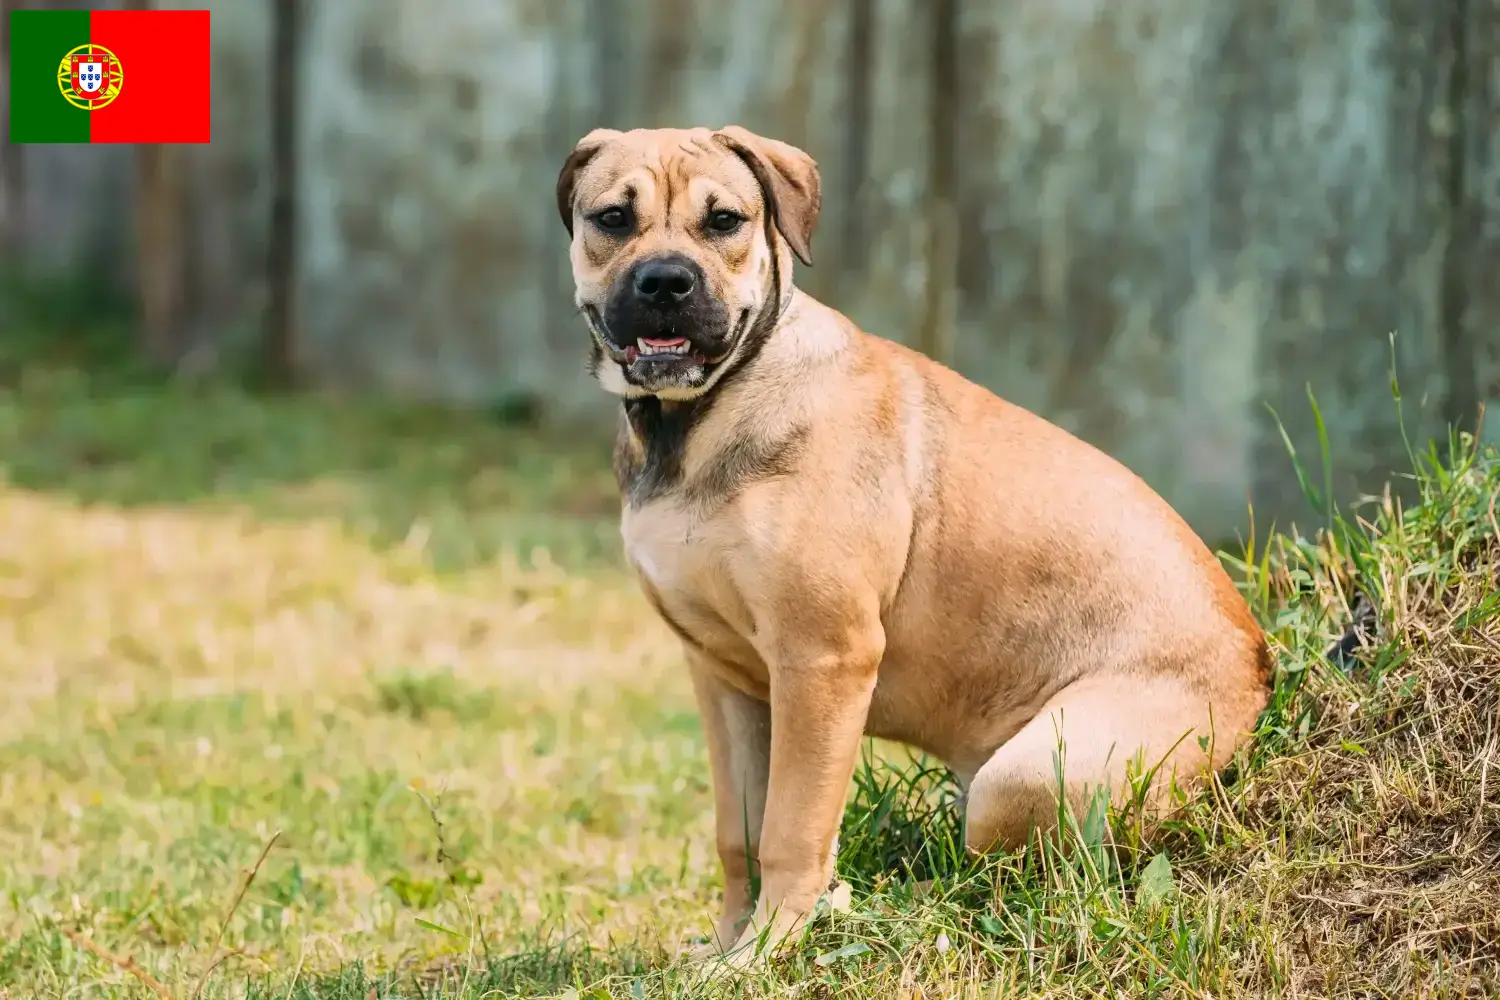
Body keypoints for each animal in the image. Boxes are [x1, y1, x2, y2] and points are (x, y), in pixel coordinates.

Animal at [558, 125, 1272, 959]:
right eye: (612, 218)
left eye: (724, 222)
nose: (666, 281)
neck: (699, 418)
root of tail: (1260, 664)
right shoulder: (724, 678)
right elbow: (739, 833)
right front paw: (727, 945)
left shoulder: (823, 659)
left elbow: (790, 829)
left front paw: (767, 953)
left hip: (1027, 775)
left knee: (1042, 881)